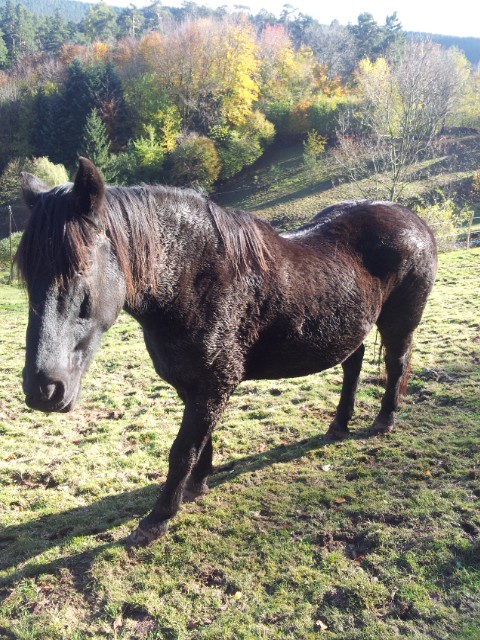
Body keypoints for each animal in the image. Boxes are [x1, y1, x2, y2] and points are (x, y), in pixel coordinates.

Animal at [16, 159, 436, 544]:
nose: (43, 390)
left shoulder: (214, 383)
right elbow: (201, 440)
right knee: (353, 367)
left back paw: (383, 421)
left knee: (396, 366)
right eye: (27, 278)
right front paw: (197, 483)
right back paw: (338, 426)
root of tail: (415, 222)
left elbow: (183, 449)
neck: (193, 281)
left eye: (81, 276)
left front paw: (158, 517)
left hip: (398, 325)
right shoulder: (195, 385)